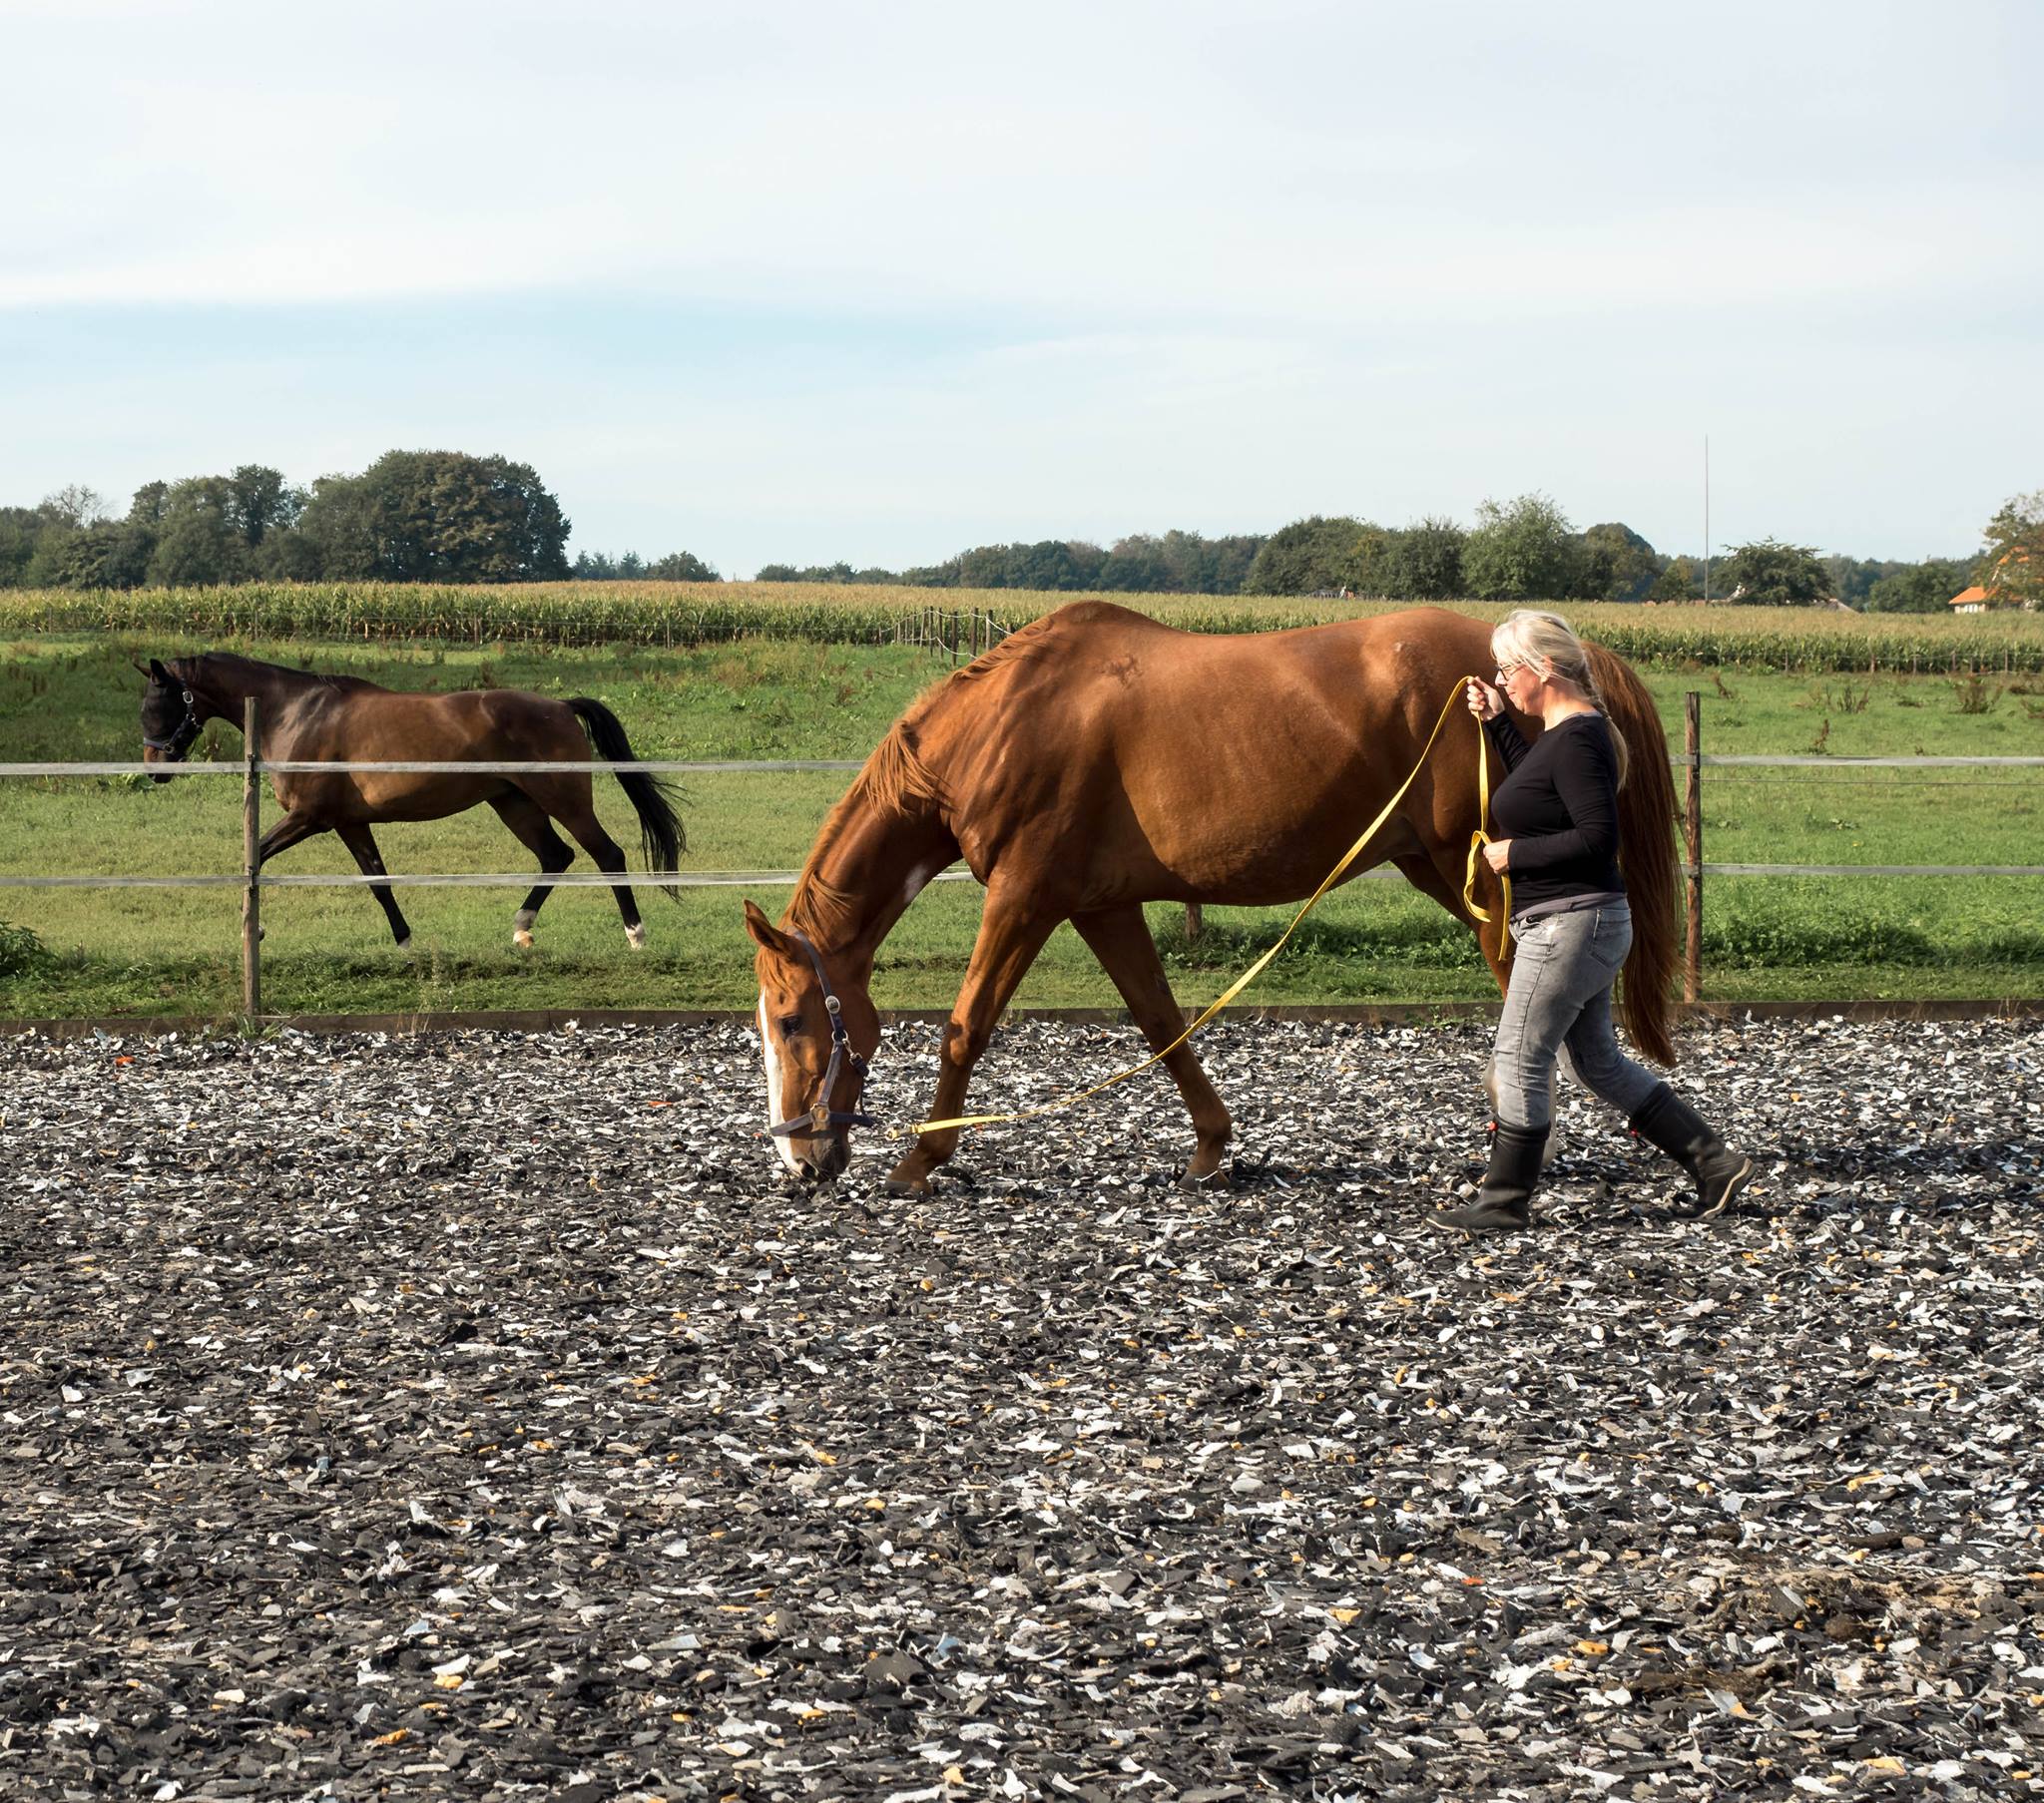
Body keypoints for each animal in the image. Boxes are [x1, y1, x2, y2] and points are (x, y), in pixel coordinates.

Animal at [138, 652, 684, 949]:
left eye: (157, 705)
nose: (153, 768)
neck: (293, 712)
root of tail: (561, 706)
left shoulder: (308, 818)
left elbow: (255, 856)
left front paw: (254, 931)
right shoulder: (348, 823)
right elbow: (378, 881)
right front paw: (404, 940)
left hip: (562, 799)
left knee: (607, 854)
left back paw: (635, 934)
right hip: (513, 803)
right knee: (556, 856)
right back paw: (521, 929)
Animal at [744, 601, 1677, 1188]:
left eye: (790, 1020)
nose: (798, 1163)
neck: (1002, 725)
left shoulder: (1023, 895)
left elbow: (965, 1026)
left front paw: (919, 1162)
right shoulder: (1098, 905)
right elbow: (1161, 1022)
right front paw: (1210, 1147)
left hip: (1473, 867)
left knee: (1531, 986)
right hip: (1442, 866)